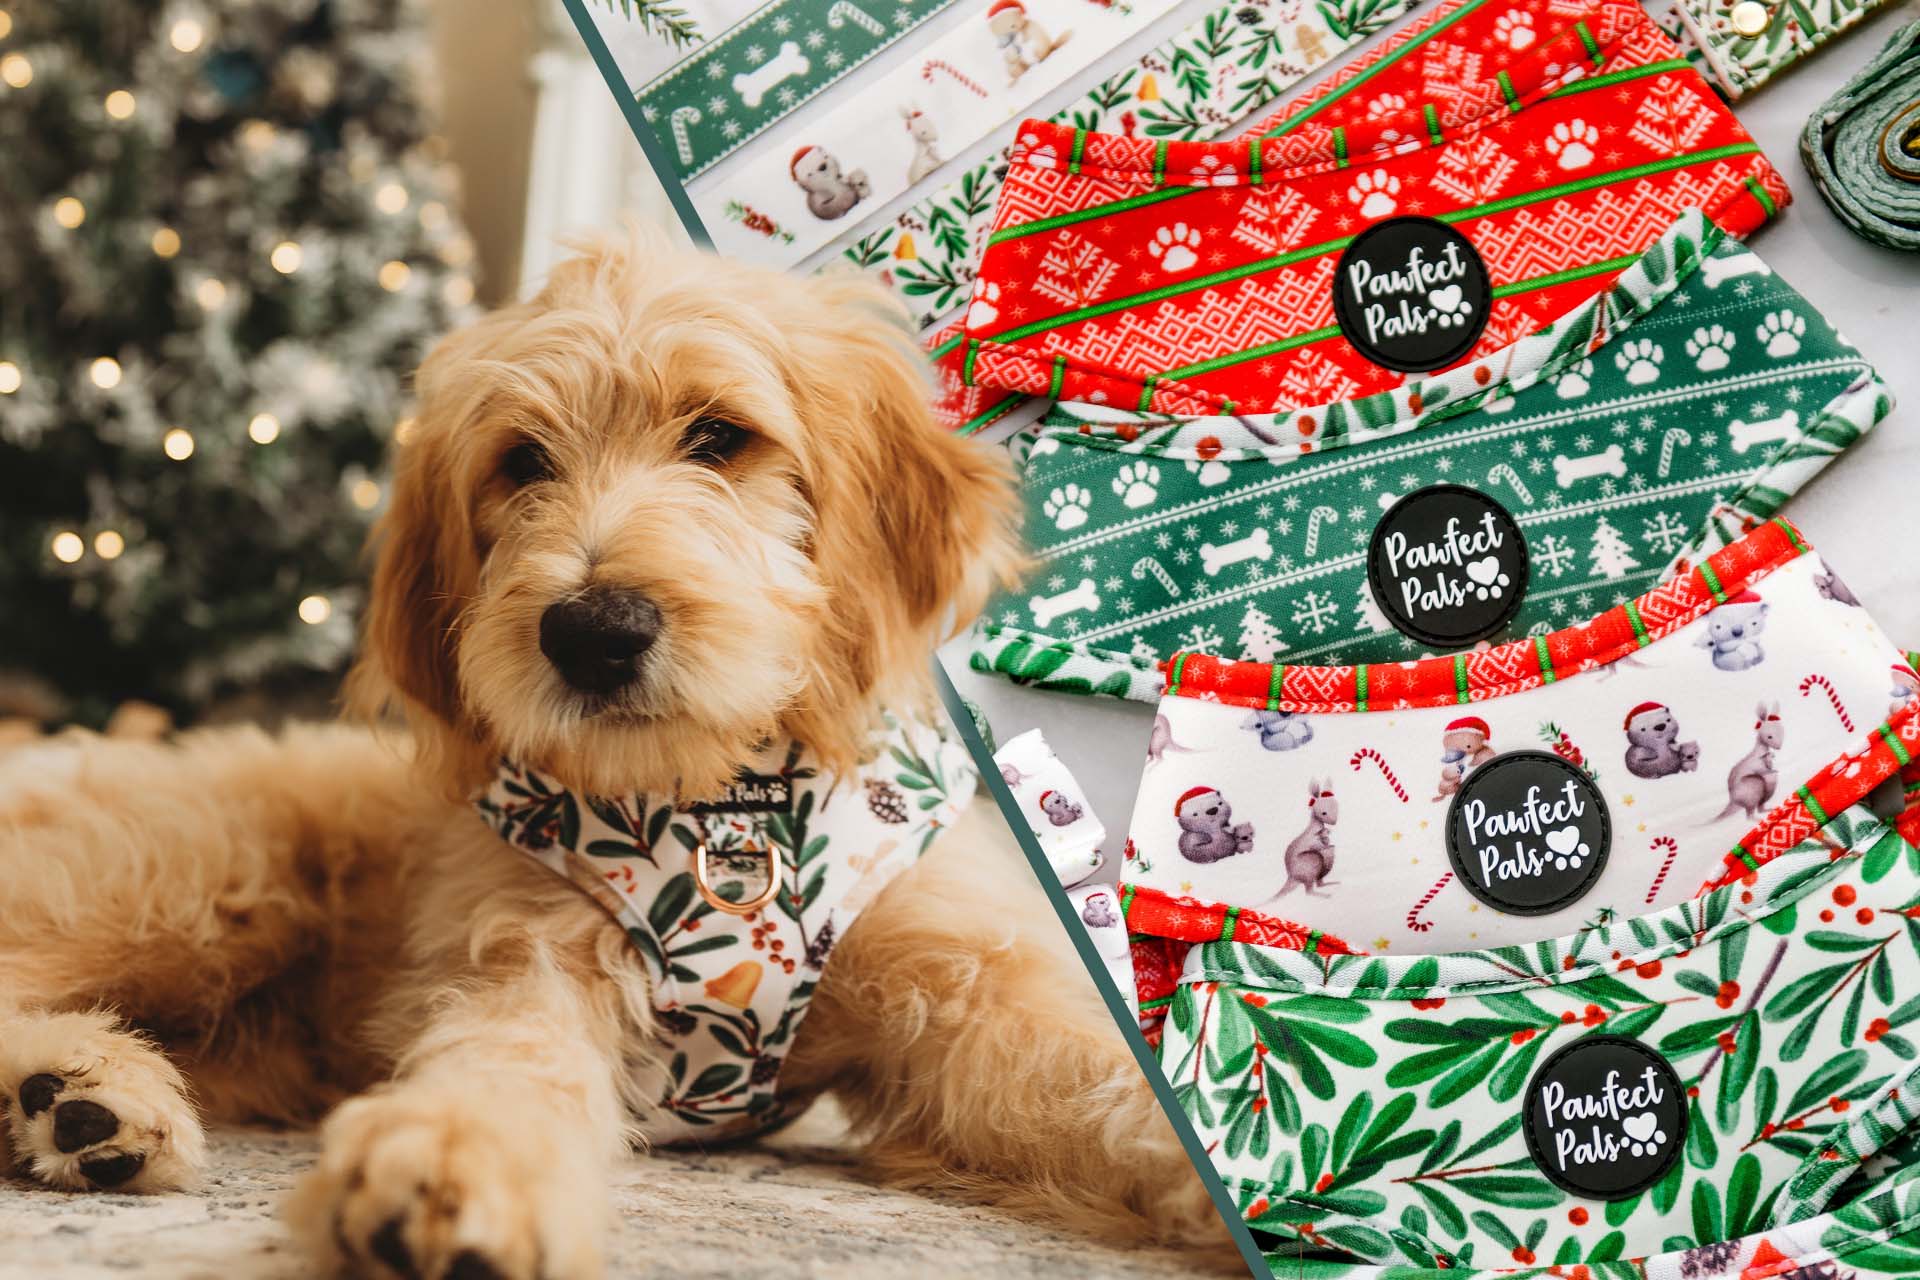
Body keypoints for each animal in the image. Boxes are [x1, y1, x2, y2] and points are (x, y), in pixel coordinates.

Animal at [0, 239, 1228, 1280]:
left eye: (719, 436)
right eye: (521, 460)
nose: (593, 630)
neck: (716, 804)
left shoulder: (964, 994)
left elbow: (1103, 1081)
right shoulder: (523, 951)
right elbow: (508, 1058)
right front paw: (450, 1163)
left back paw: (79, 1107)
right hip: (194, 877)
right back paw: (86, 1092)